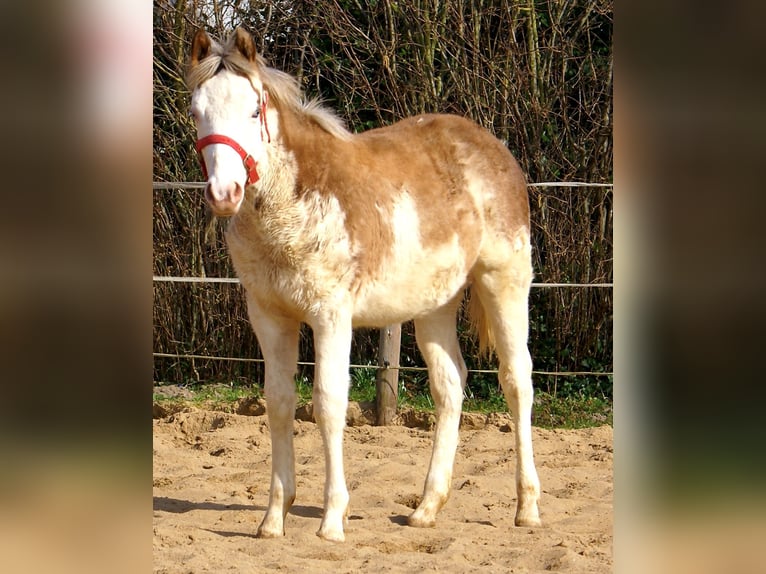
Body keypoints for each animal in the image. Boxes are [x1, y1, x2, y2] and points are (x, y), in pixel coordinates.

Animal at [186, 27, 541, 542]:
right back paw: (426, 508)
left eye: (253, 111)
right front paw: (273, 519)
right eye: (197, 112)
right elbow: (279, 404)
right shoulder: (269, 316)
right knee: (450, 385)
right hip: (435, 304)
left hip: (504, 281)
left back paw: (527, 507)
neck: (294, 203)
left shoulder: (331, 315)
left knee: (516, 380)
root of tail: (494, 148)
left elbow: (329, 403)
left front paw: (332, 520)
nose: (224, 193)